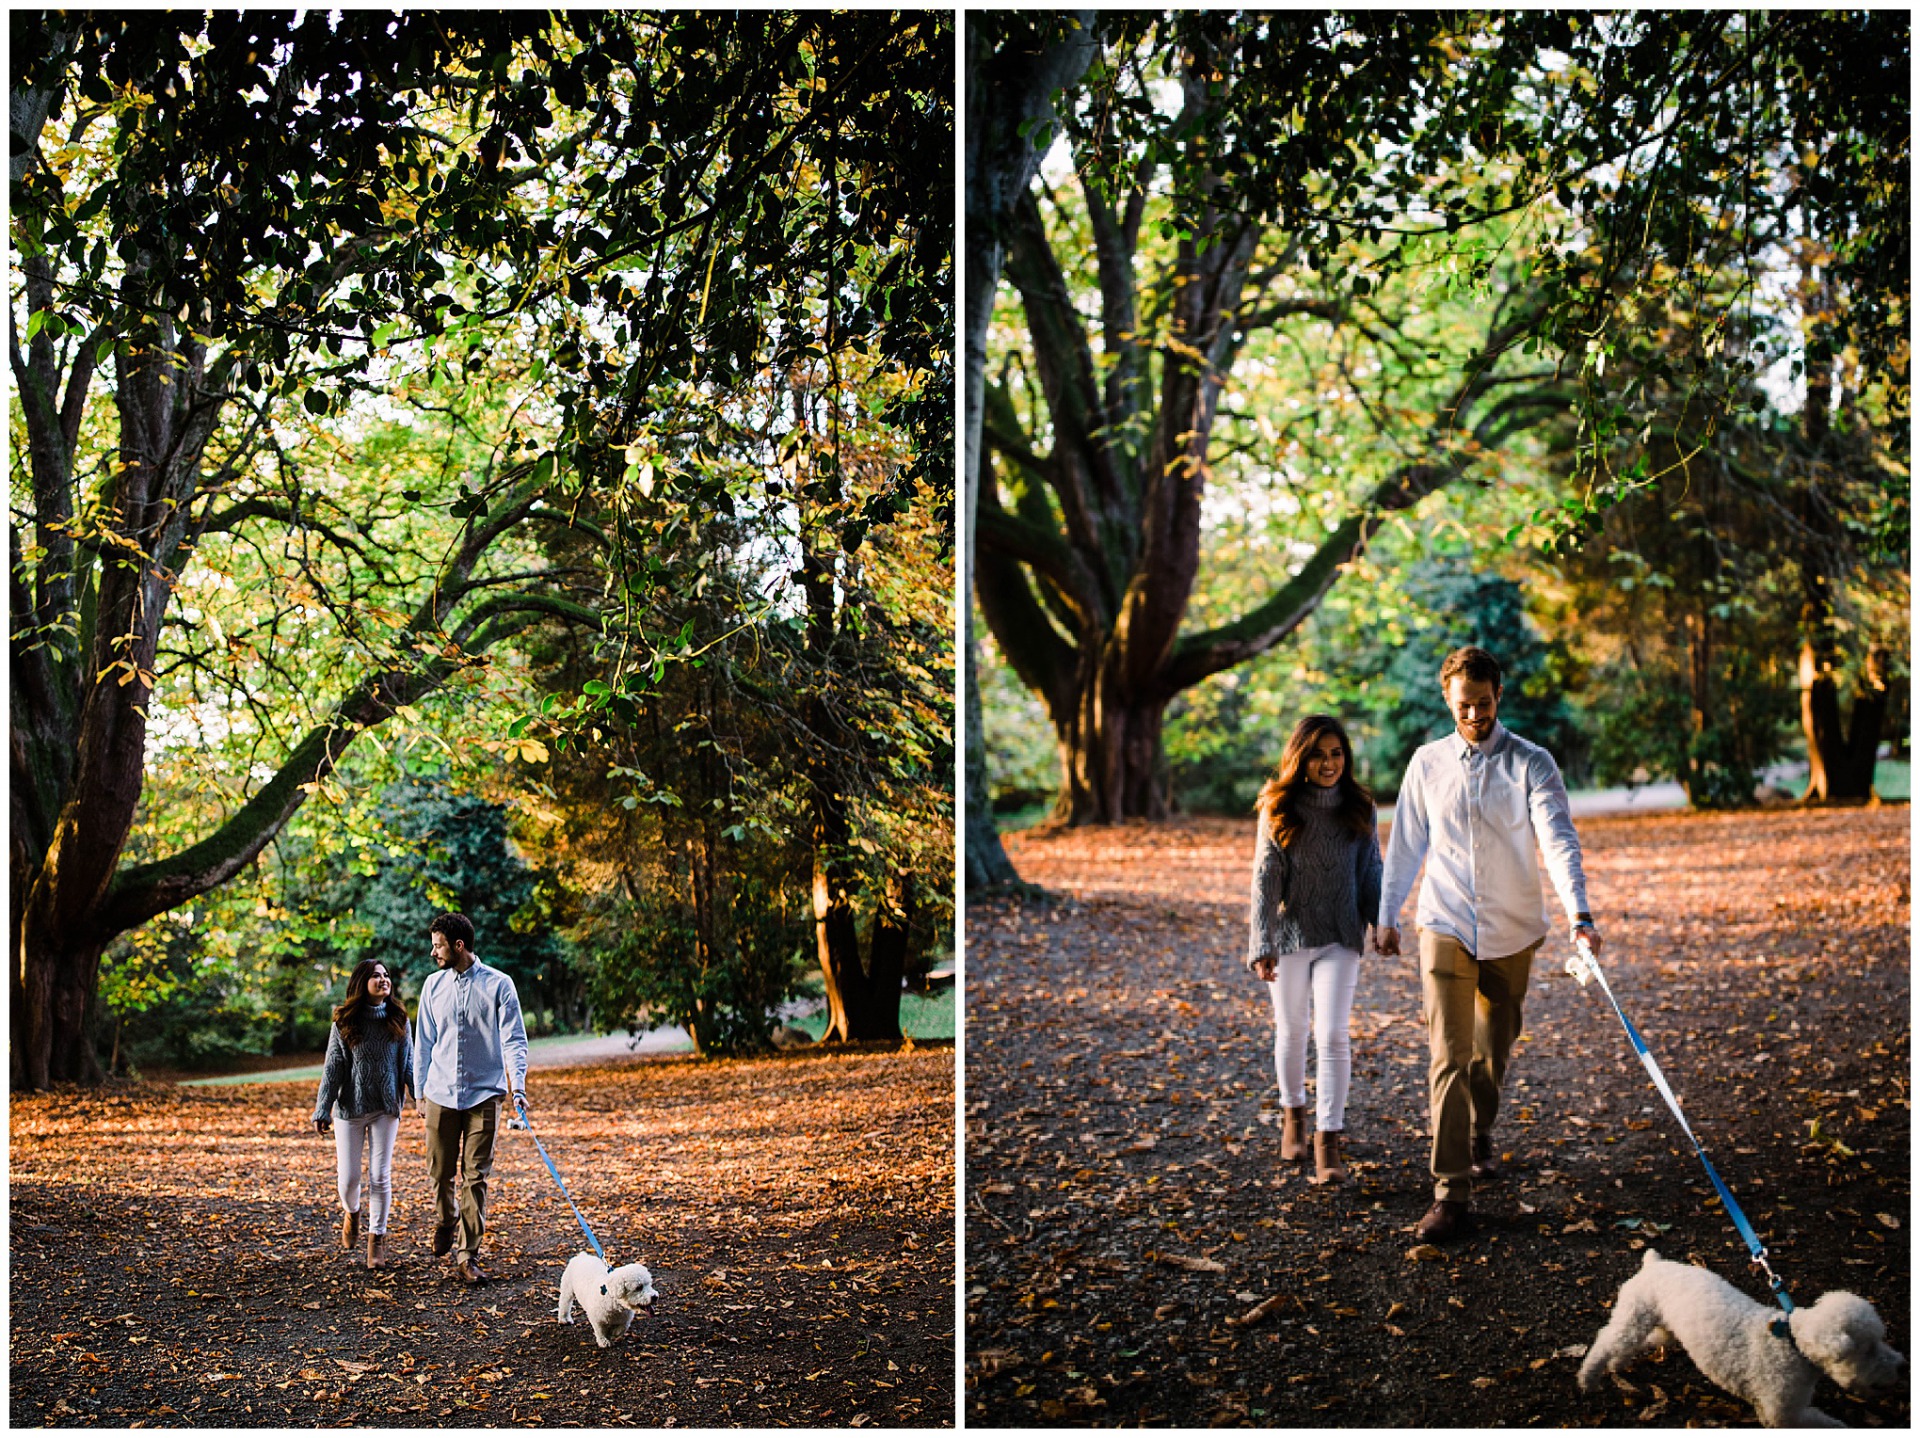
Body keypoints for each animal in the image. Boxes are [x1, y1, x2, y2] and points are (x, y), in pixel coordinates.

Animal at [1574, 1244, 1904, 1428]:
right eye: (1868, 1348)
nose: (1902, 1366)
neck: (1793, 1345)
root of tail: (1654, 1263)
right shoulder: (1783, 1413)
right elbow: (1824, 1423)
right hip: (1634, 1315)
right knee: (1606, 1341)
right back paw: (1588, 1378)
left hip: (1659, 1324)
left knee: (1639, 1342)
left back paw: (1617, 1365)